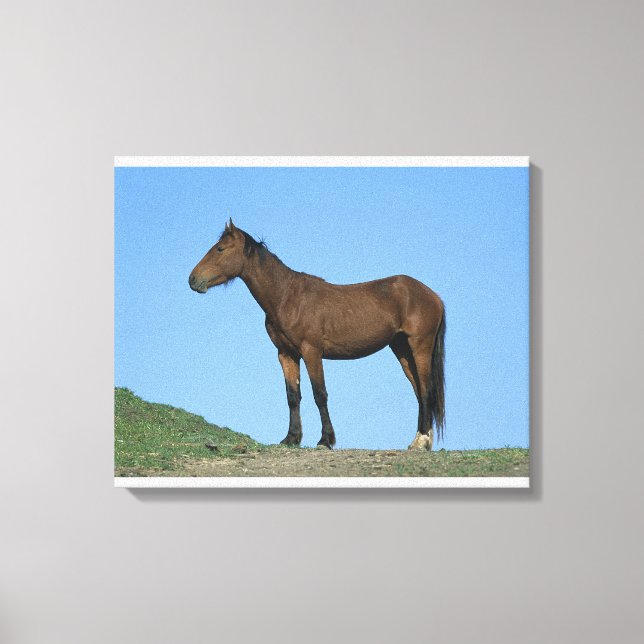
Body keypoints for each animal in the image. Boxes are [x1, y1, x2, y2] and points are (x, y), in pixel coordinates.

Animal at [189, 219, 445, 451]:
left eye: (220, 248)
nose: (193, 279)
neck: (286, 296)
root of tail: (433, 295)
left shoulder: (311, 351)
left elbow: (319, 394)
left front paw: (325, 440)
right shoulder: (286, 354)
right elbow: (293, 395)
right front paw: (291, 438)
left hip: (419, 346)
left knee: (425, 390)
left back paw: (421, 442)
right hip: (401, 349)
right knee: (418, 391)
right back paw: (419, 441)